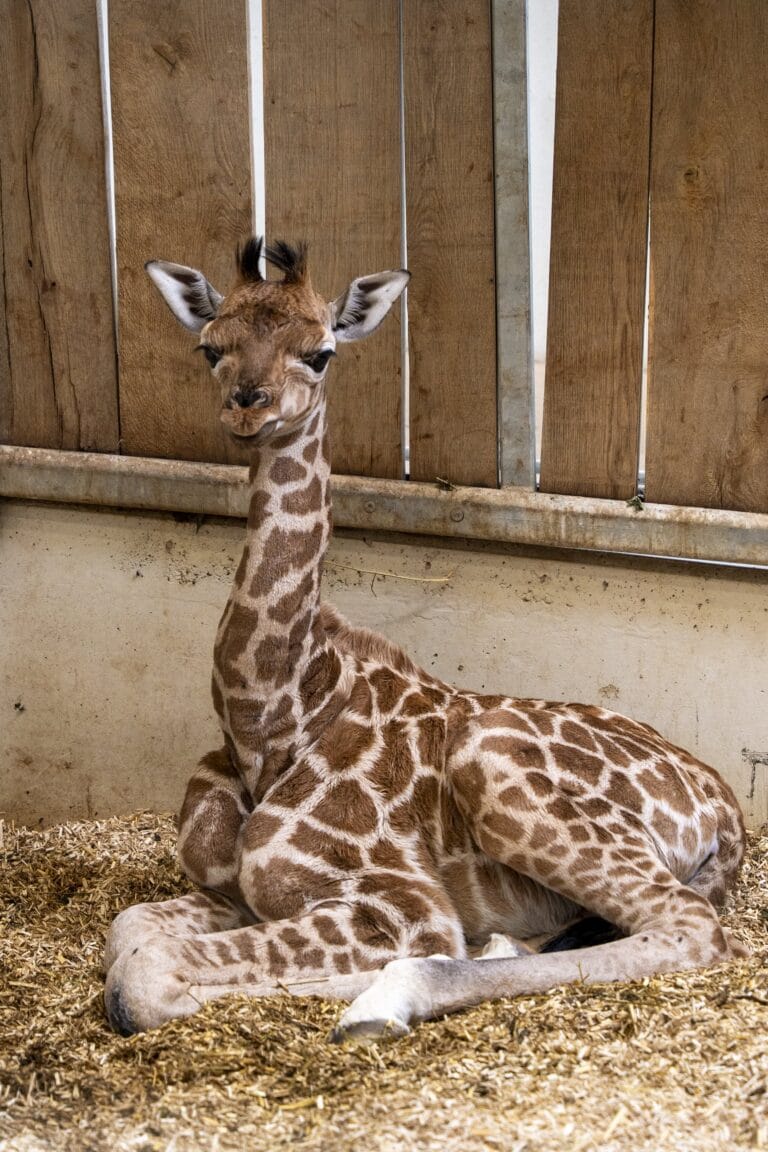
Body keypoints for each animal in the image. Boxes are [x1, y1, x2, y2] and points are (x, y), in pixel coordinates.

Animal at [104, 238, 747, 1040]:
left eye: (321, 353)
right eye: (209, 347)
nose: (248, 406)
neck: (268, 720)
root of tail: (728, 811)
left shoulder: (397, 901)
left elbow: (143, 976)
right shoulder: (231, 890)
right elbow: (128, 930)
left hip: (495, 763)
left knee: (690, 928)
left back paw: (388, 999)